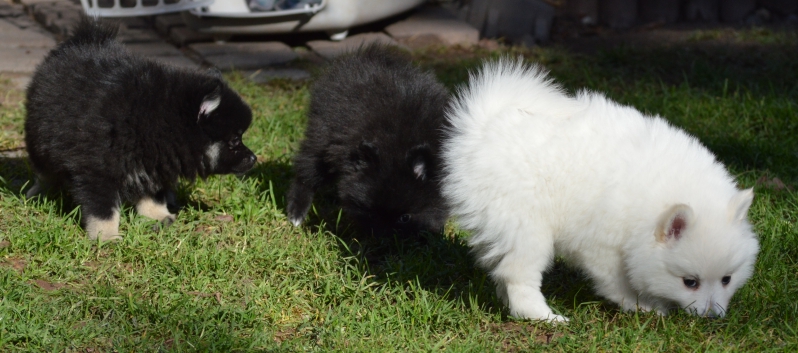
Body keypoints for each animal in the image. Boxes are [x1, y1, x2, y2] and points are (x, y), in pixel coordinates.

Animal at [24, 16, 256, 239]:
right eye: (235, 140)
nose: (254, 158)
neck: (159, 120)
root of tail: (84, 40)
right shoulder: (97, 169)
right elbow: (103, 209)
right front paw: (106, 236)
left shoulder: (154, 164)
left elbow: (153, 194)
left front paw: (157, 216)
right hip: (39, 139)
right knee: (43, 171)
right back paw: (37, 193)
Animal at [286, 45, 450, 235]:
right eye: (371, 213)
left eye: (405, 218)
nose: (384, 233)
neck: (396, 147)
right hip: (321, 138)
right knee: (307, 172)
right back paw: (297, 212)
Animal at [444, 59, 764, 320]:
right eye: (690, 282)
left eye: (727, 279)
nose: (712, 316)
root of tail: (484, 127)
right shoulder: (603, 245)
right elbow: (616, 282)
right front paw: (643, 306)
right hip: (526, 226)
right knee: (518, 275)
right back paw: (544, 316)